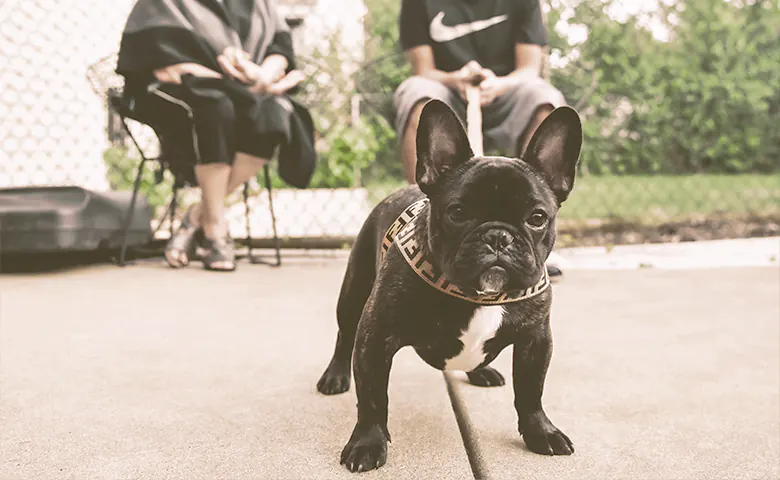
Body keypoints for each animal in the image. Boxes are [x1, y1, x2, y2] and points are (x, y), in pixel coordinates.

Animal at [318, 100, 584, 472]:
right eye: (457, 212)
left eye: (537, 218)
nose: (497, 236)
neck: (479, 295)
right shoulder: (376, 335)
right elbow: (372, 397)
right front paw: (367, 443)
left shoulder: (536, 339)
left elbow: (532, 392)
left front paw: (541, 432)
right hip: (354, 292)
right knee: (344, 335)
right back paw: (334, 377)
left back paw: (483, 373)